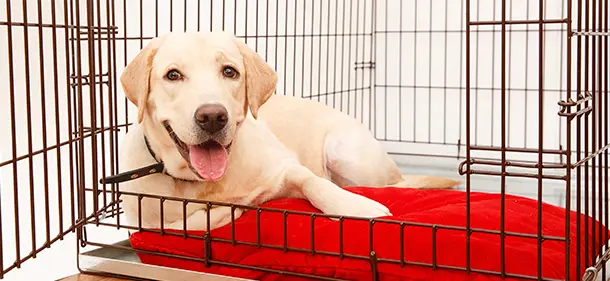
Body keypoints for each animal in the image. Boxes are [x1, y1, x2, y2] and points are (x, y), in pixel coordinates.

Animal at [117, 31, 456, 231]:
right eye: (173, 75)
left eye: (229, 71)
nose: (213, 116)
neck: (202, 184)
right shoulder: (142, 221)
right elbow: (178, 224)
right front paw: (225, 212)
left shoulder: (286, 168)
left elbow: (316, 183)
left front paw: (354, 206)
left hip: (345, 151)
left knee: (393, 184)